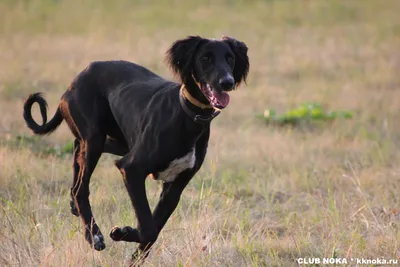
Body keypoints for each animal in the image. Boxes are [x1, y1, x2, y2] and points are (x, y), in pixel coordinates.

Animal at [23, 35, 248, 262]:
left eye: (230, 58)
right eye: (206, 58)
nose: (227, 82)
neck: (187, 114)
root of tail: (75, 80)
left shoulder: (176, 185)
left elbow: (154, 228)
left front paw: (131, 248)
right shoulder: (131, 168)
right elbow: (148, 227)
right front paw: (122, 233)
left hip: (116, 141)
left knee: (78, 154)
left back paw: (74, 205)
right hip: (95, 138)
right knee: (81, 188)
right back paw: (94, 235)